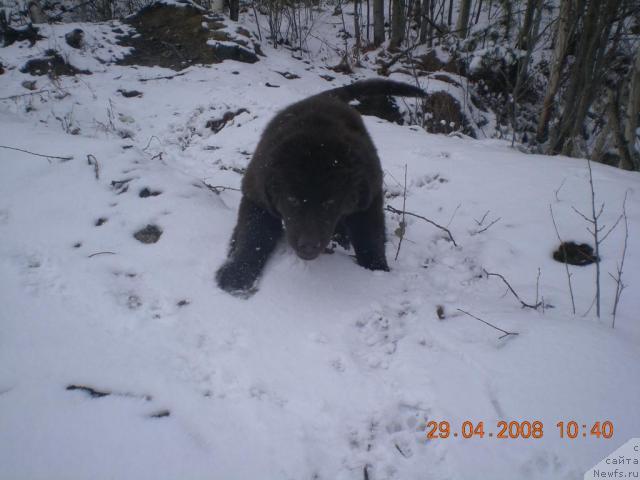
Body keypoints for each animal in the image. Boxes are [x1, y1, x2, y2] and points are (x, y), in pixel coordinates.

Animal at [215, 78, 424, 296]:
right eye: (292, 199)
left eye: (330, 202)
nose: (308, 246)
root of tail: (327, 97)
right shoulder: (257, 196)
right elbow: (253, 235)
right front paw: (237, 273)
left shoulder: (369, 197)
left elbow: (370, 237)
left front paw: (377, 271)